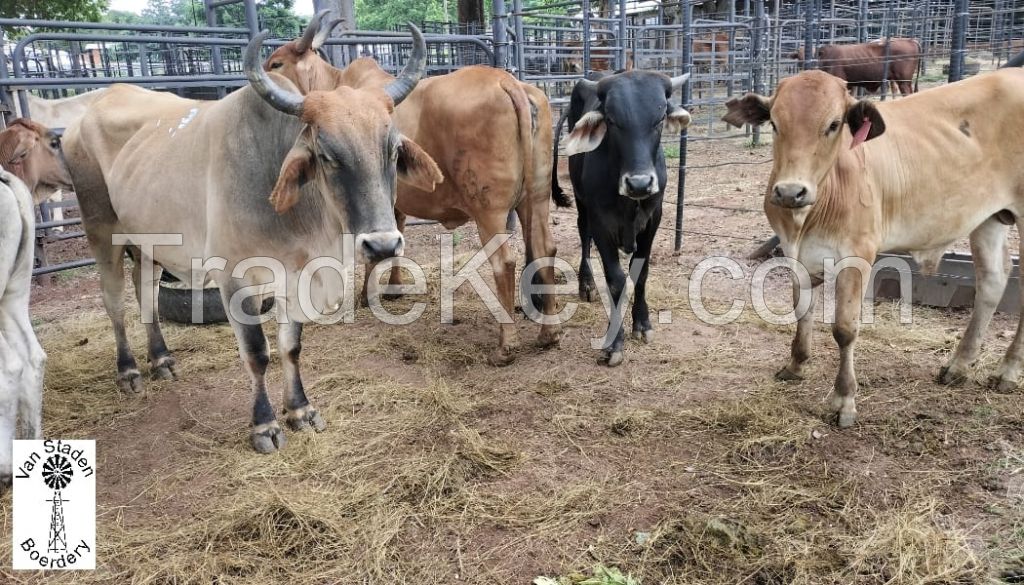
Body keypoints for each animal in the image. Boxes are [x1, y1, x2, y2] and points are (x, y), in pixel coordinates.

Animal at [264, 11, 569, 364]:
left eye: (276, 63)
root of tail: (508, 81)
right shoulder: (393, 203)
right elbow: (395, 235)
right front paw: (394, 286)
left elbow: (369, 250)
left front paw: (366, 296)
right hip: (536, 198)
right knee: (545, 248)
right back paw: (549, 332)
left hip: (489, 209)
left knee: (503, 262)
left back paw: (506, 345)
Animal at [552, 72, 688, 366]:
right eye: (613, 121)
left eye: (659, 119)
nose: (639, 183)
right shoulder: (601, 223)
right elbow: (615, 280)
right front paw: (614, 342)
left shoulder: (653, 219)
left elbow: (641, 272)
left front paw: (643, 323)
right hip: (582, 203)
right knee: (583, 234)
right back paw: (587, 284)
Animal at [720, 68, 1024, 428]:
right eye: (775, 123)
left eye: (833, 124)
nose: (790, 191)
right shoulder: (794, 252)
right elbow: (802, 309)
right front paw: (796, 365)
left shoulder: (857, 254)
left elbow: (844, 328)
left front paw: (843, 400)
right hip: (987, 218)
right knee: (992, 280)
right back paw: (959, 366)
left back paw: (1007, 371)